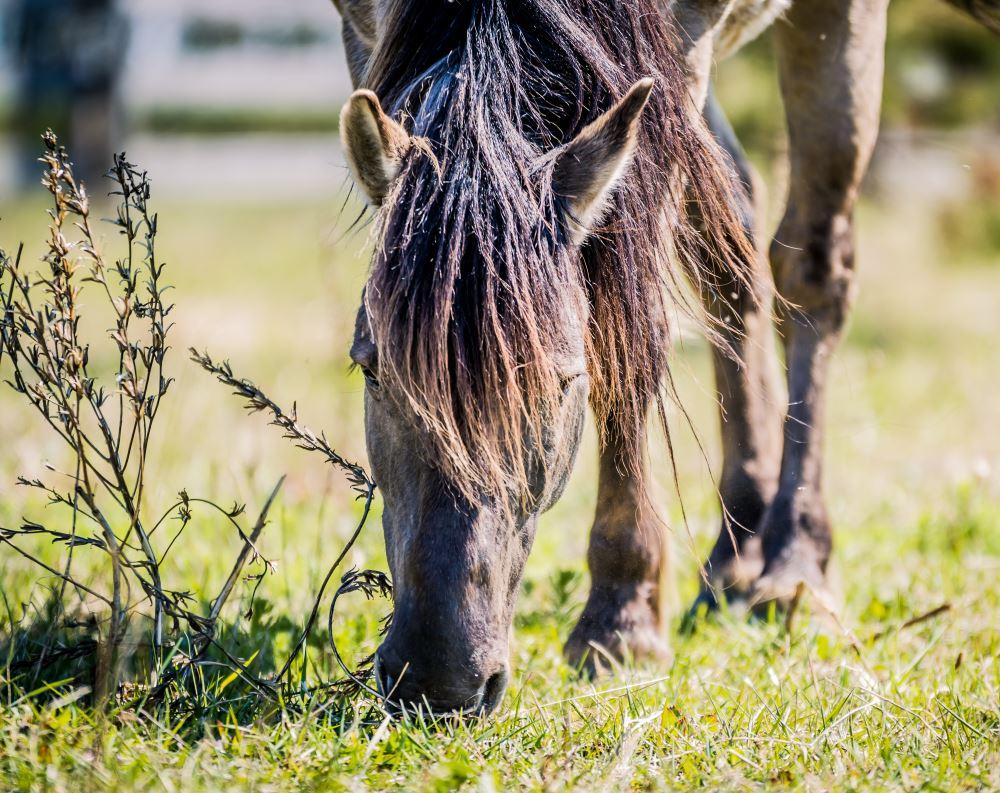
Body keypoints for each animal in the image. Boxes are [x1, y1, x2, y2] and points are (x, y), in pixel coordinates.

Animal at [330, 0, 1000, 716]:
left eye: (564, 381)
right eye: (371, 369)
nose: (439, 684)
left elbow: (634, 324)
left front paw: (621, 620)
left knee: (812, 263)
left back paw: (792, 570)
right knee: (732, 243)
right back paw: (736, 553)